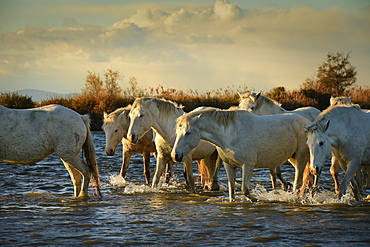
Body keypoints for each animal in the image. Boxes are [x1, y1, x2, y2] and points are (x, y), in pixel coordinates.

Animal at [172, 109, 310, 202]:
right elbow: (232, 189)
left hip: (300, 158)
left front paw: (256, 200)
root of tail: (307, 123)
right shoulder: (229, 165)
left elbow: (244, 189)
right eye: (177, 132)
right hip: (292, 158)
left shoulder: (248, 165)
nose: (175, 155)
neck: (229, 134)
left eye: (187, 133)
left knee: (297, 182)